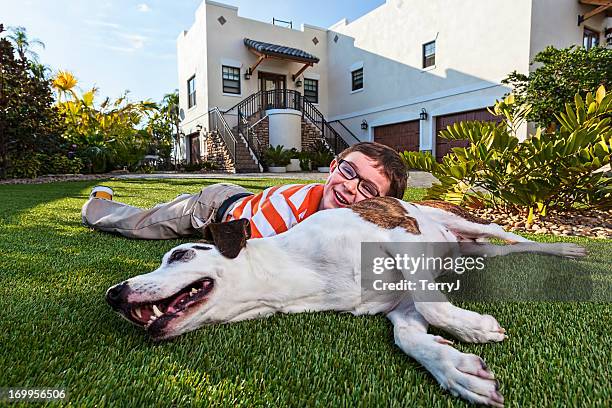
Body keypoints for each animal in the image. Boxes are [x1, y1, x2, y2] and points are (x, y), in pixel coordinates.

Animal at [107, 197, 584, 404]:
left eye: (181, 255)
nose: (113, 294)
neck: (296, 274)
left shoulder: (400, 233)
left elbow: (431, 304)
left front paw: (471, 326)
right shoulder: (400, 307)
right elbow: (411, 336)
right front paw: (455, 369)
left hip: (464, 221)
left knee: (515, 238)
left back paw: (567, 248)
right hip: (476, 249)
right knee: (499, 252)